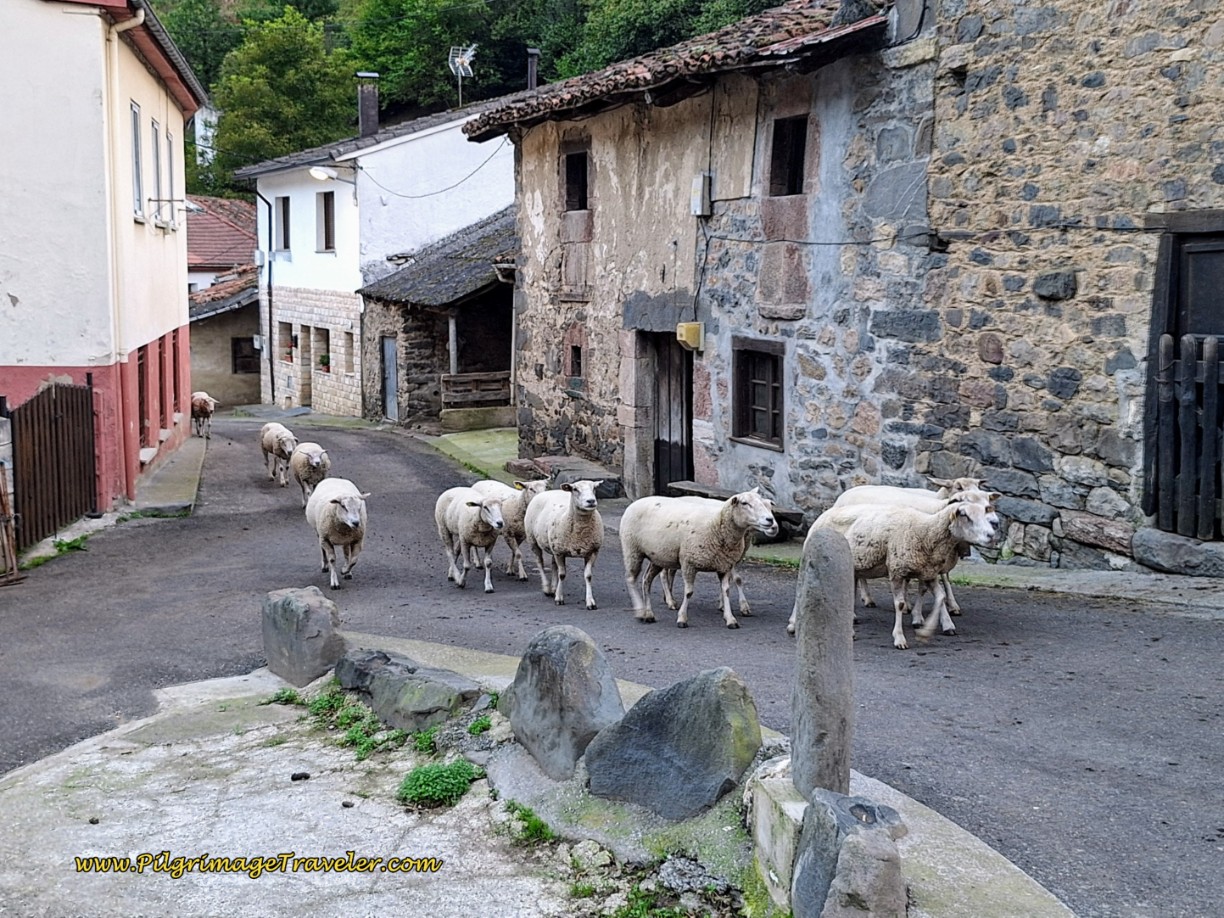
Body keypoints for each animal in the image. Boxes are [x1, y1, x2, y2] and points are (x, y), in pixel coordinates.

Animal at [523, 480, 603, 609]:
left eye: (595, 488)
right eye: (575, 489)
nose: (591, 501)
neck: (580, 533)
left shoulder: (592, 551)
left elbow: (588, 576)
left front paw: (590, 601)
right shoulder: (560, 552)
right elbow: (562, 574)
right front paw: (559, 598)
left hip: (554, 546)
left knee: (553, 565)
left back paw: (553, 588)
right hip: (533, 540)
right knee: (540, 563)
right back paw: (547, 588)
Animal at [620, 488, 778, 629]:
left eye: (769, 504)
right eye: (745, 503)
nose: (771, 522)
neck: (716, 524)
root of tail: (638, 501)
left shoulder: (725, 564)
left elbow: (727, 590)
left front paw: (730, 618)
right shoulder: (689, 562)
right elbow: (689, 592)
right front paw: (682, 618)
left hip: (658, 556)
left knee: (646, 580)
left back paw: (649, 613)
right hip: (632, 549)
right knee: (632, 579)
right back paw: (643, 610)